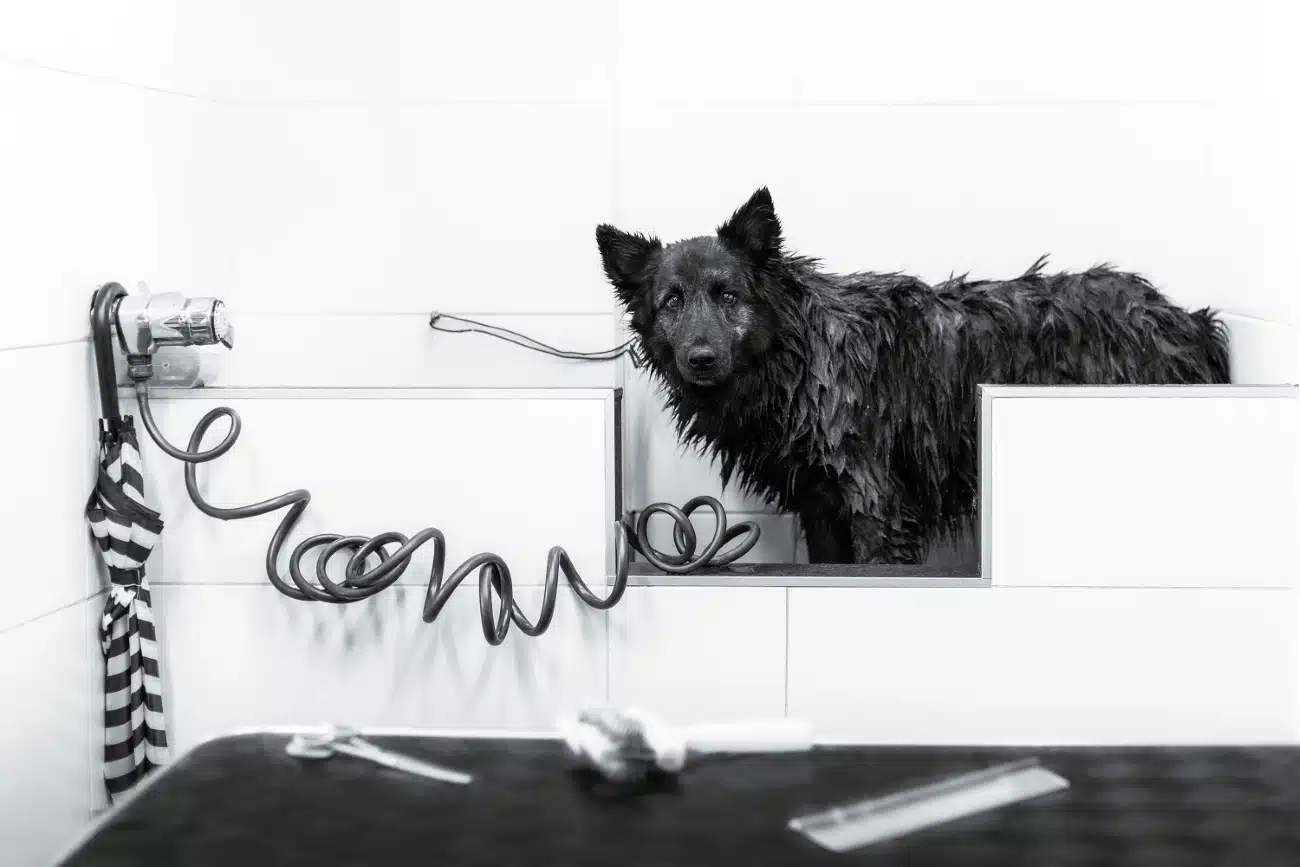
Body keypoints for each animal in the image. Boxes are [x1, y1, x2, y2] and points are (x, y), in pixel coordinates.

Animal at [598, 187, 1227, 566]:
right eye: (671, 302)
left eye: (728, 294)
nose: (700, 358)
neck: (799, 359)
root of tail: (1189, 319)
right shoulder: (820, 504)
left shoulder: (875, 499)